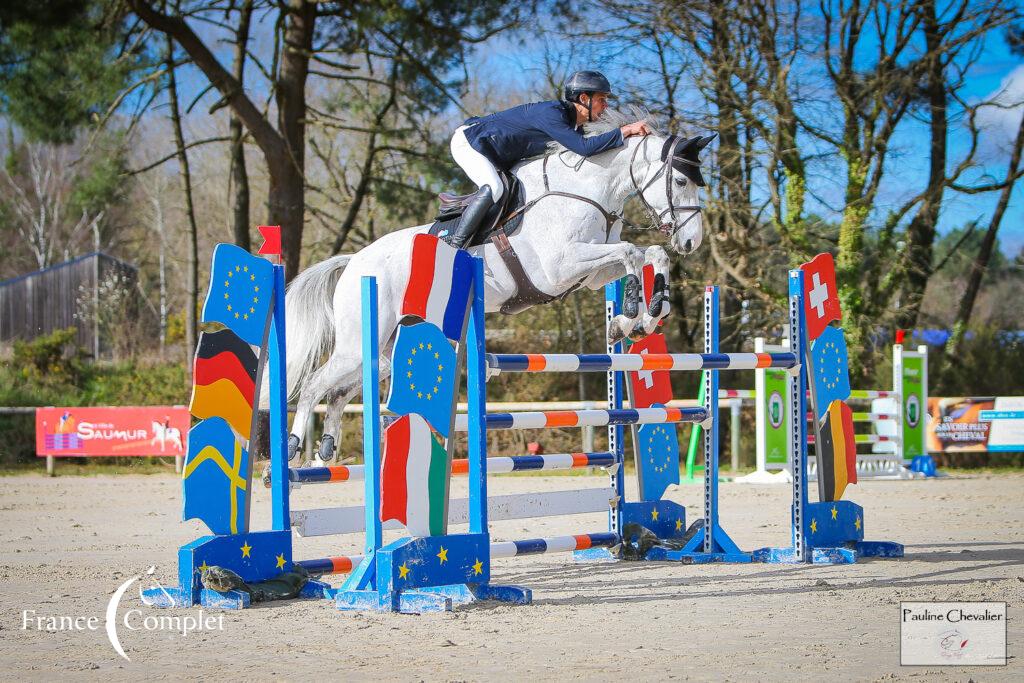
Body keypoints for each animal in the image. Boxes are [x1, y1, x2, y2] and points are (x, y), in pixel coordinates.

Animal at [280, 114, 712, 462]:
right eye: (679, 180)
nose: (692, 242)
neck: (587, 190)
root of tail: (354, 262)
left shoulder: (588, 274)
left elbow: (650, 252)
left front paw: (642, 317)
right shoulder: (561, 267)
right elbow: (630, 252)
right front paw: (634, 312)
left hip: (381, 350)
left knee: (339, 392)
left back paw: (326, 449)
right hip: (355, 344)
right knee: (313, 386)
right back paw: (294, 450)